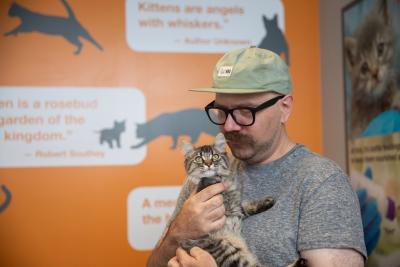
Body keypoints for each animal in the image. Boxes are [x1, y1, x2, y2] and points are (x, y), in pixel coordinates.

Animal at [181, 134, 306, 267]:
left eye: (215, 156)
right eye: (199, 159)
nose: (209, 164)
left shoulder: (236, 208)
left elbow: (247, 206)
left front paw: (267, 202)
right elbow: (204, 181)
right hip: (226, 250)